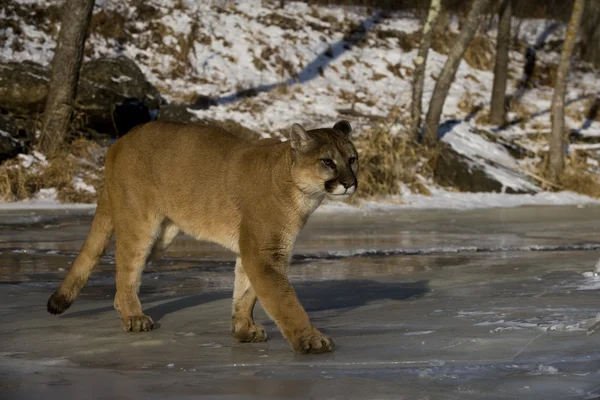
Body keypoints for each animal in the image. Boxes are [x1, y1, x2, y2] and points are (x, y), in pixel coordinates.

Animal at [48, 119, 356, 354]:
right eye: (328, 161)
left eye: (352, 159)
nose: (351, 183)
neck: (299, 190)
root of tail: (120, 141)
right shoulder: (263, 253)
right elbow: (285, 302)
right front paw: (311, 339)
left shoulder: (254, 251)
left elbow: (246, 292)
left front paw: (243, 329)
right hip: (140, 224)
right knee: (126, 265)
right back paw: (134, 316)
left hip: (162, 236)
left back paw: (123, 309)